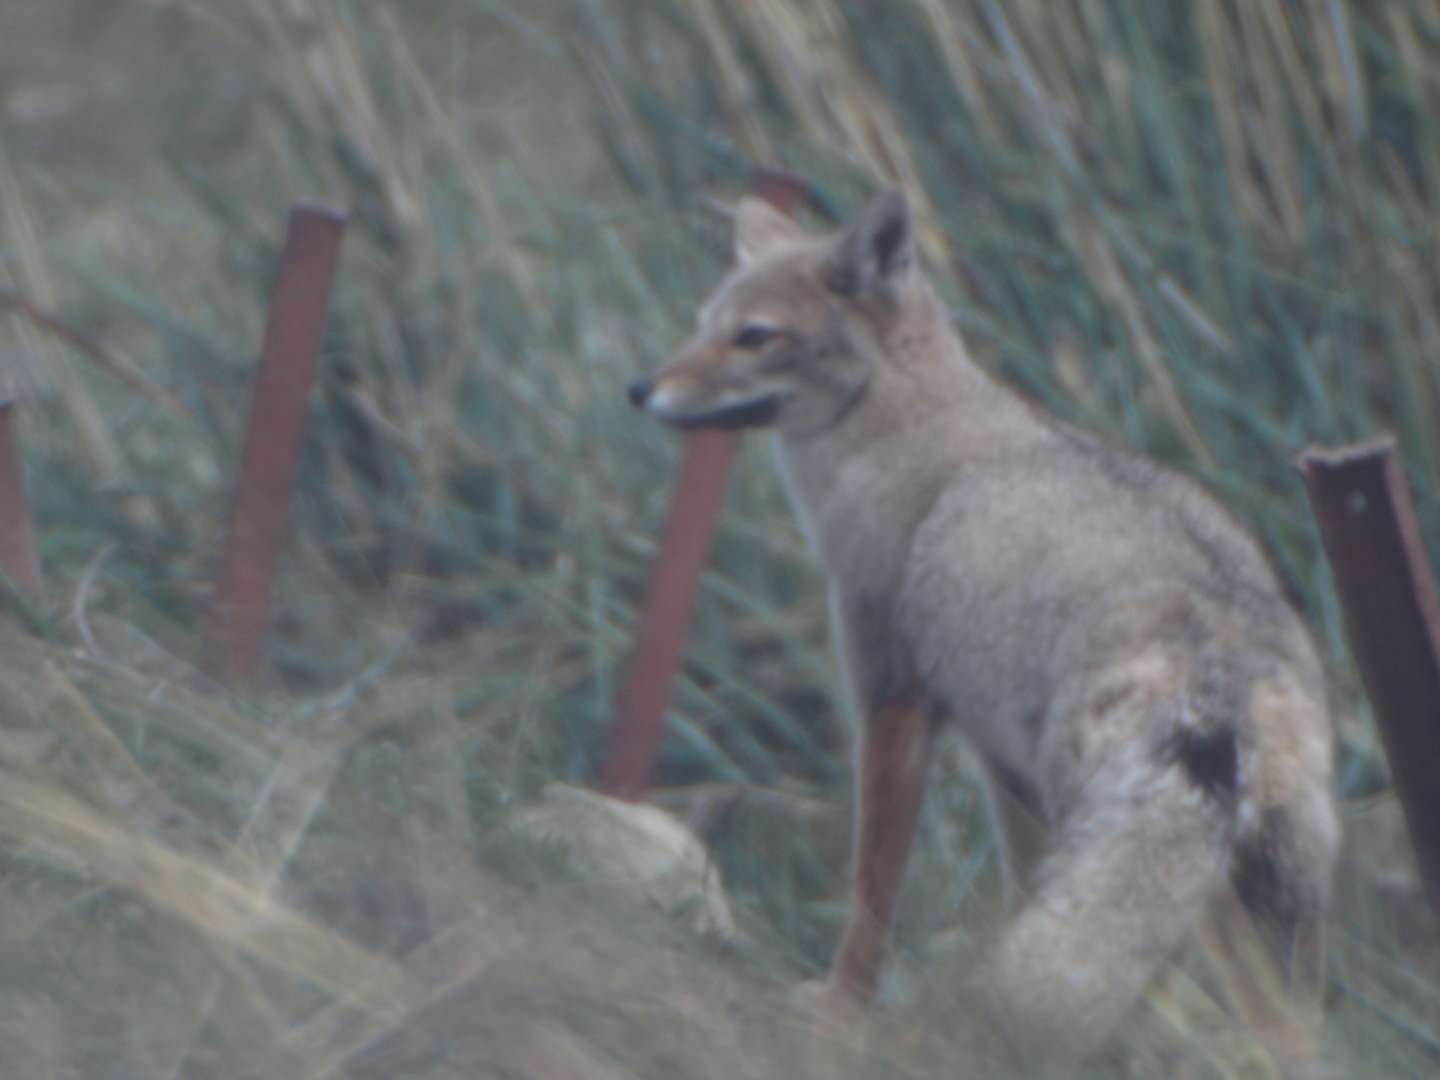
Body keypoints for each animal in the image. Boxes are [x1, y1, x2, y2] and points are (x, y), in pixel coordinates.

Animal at [624, 190, 1342, 1077]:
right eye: (702, 325)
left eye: (752, 336)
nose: (640, 388)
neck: (903, 429)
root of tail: (1228, 668)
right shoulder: (1003, 765)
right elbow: (1012, 902)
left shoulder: (892, 704)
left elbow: (873, 887)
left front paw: (842, 1003)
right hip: (1252, 904)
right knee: (1274, 1036)